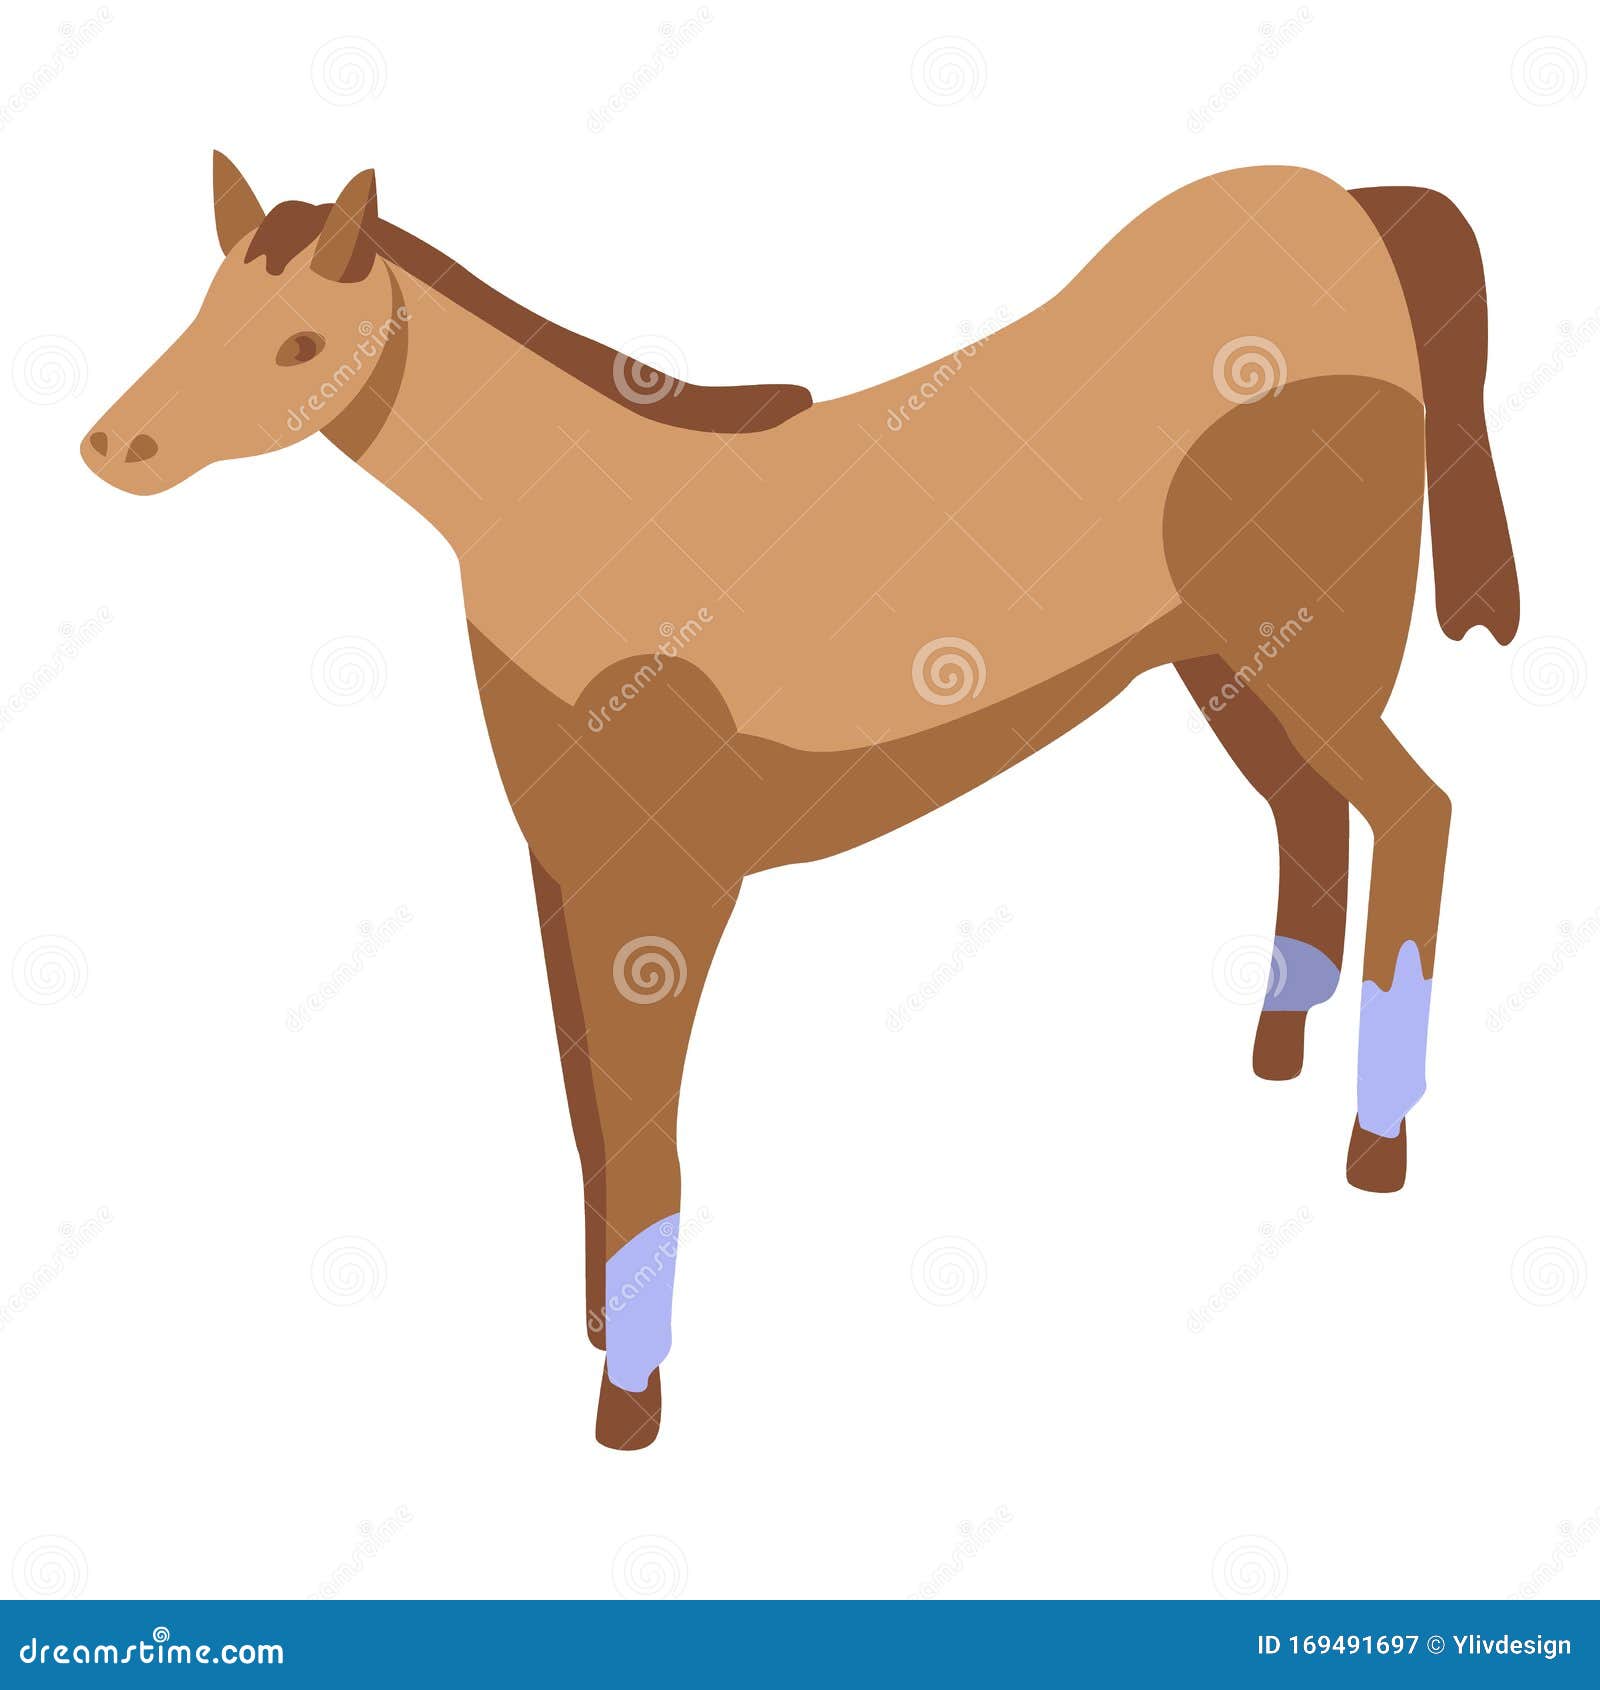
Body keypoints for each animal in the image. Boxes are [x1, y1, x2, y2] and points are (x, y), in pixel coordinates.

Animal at [83, 154, 1519, 1447]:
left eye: (299, 341)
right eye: (202, 306)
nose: (113, 448)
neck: (580, 526)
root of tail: (1345, 208)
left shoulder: (660, 886)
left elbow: (646, 1146)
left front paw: (632, 1399)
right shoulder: (562, 867)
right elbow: (587, 1119)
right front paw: (599, 1329)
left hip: (1311, 658)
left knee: (1417, 813)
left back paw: (1378, 1133)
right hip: (1233, 663)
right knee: (1306, 816)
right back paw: (1281, 1041)